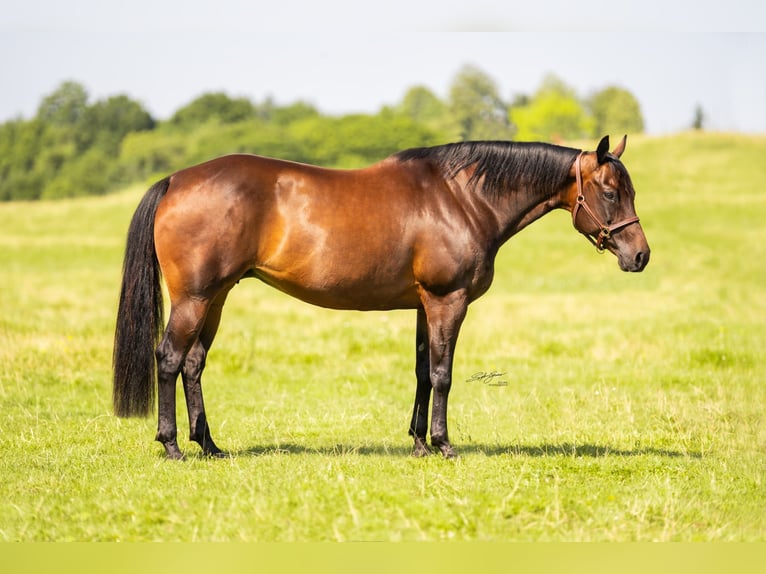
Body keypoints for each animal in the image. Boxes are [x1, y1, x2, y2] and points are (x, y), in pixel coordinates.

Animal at [113, 135, 650, 460]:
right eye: (609, 191)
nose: (640, 255)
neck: (459, 198)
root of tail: (175, 181)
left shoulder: (423, 304)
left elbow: (422, 371)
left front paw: (418, 443)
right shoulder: (447, 300)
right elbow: (443, 373)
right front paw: (443, 444)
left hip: (216, 297)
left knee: (193, 363)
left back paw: (209, 445)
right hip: (194, 298)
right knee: (169, 358)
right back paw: (172, 446)